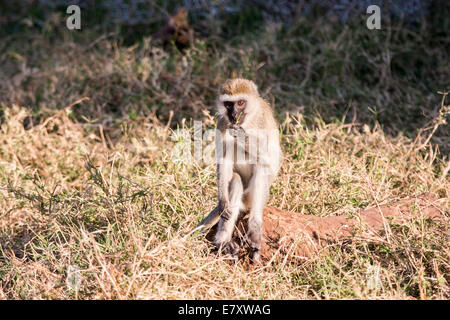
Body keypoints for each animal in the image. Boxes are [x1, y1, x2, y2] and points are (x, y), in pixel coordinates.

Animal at [197, 78, 282, 262]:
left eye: (241, 103)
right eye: (229, 104)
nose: (234, 116)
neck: (247, 121)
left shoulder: (264, 120)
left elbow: (271, 160)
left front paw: (243, 136)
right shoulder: (223, 123)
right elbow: (223, 160)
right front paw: (223, 202)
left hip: (250, 197)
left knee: (261, 168)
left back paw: (255, 228)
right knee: (235, 178)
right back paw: (223, 242)